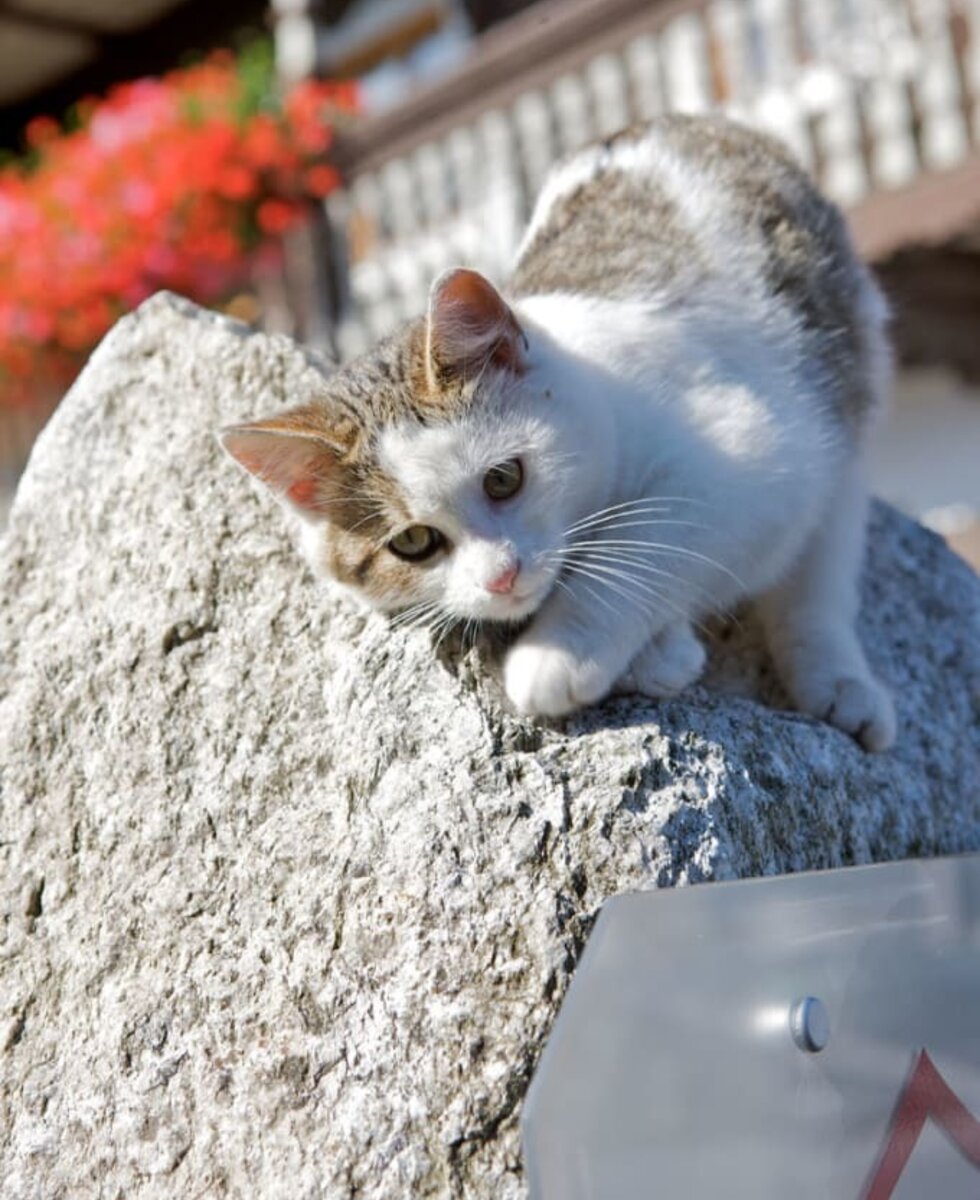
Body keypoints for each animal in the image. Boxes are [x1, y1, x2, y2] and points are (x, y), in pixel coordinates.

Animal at [221, 112, 892, 748]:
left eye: (503, 479)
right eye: (412, 542)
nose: (501, 576)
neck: (603, 391)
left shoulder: (755, 454)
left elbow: (652, 542)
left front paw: (560, 653)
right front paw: (661, 654)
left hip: (841, 371)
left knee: (823, 559)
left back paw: (841, 684)